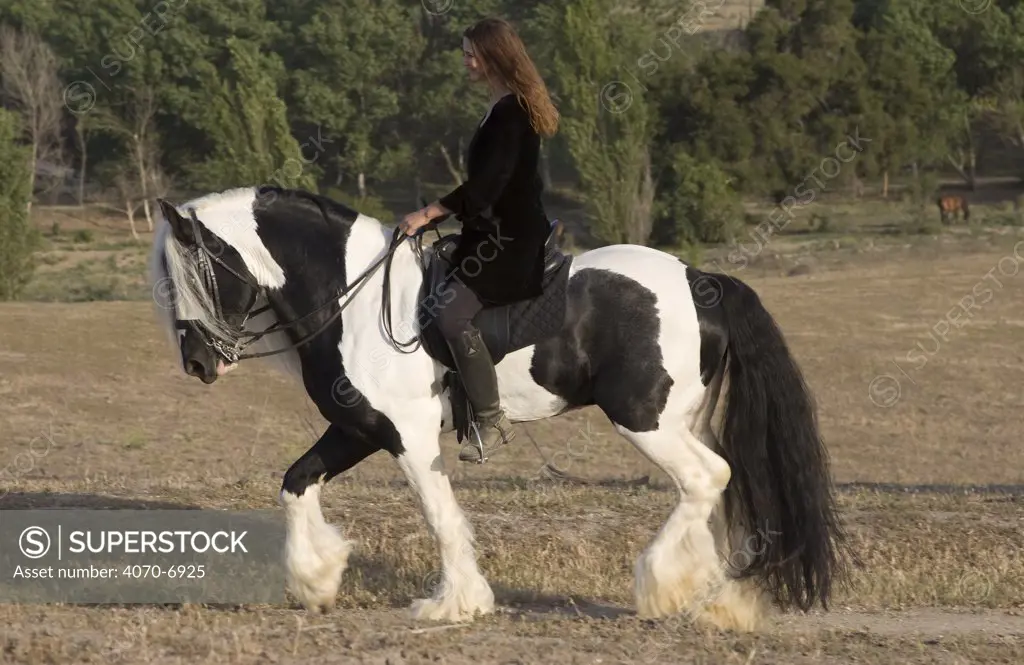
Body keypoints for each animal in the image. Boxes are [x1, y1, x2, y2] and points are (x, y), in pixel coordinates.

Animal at [146, 184, 847, 631]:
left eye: (199, 272)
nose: (198, 364)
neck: (353, 298)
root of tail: (699, 280)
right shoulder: (359, 427)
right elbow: (296, 482)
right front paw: (316, 580)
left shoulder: (406, 435)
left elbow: (440, 515)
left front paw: (454, 604)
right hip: (677, 419)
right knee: (703, 488)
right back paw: (705, 594)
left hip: (643, 418)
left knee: (708, 477)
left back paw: (665, 585)